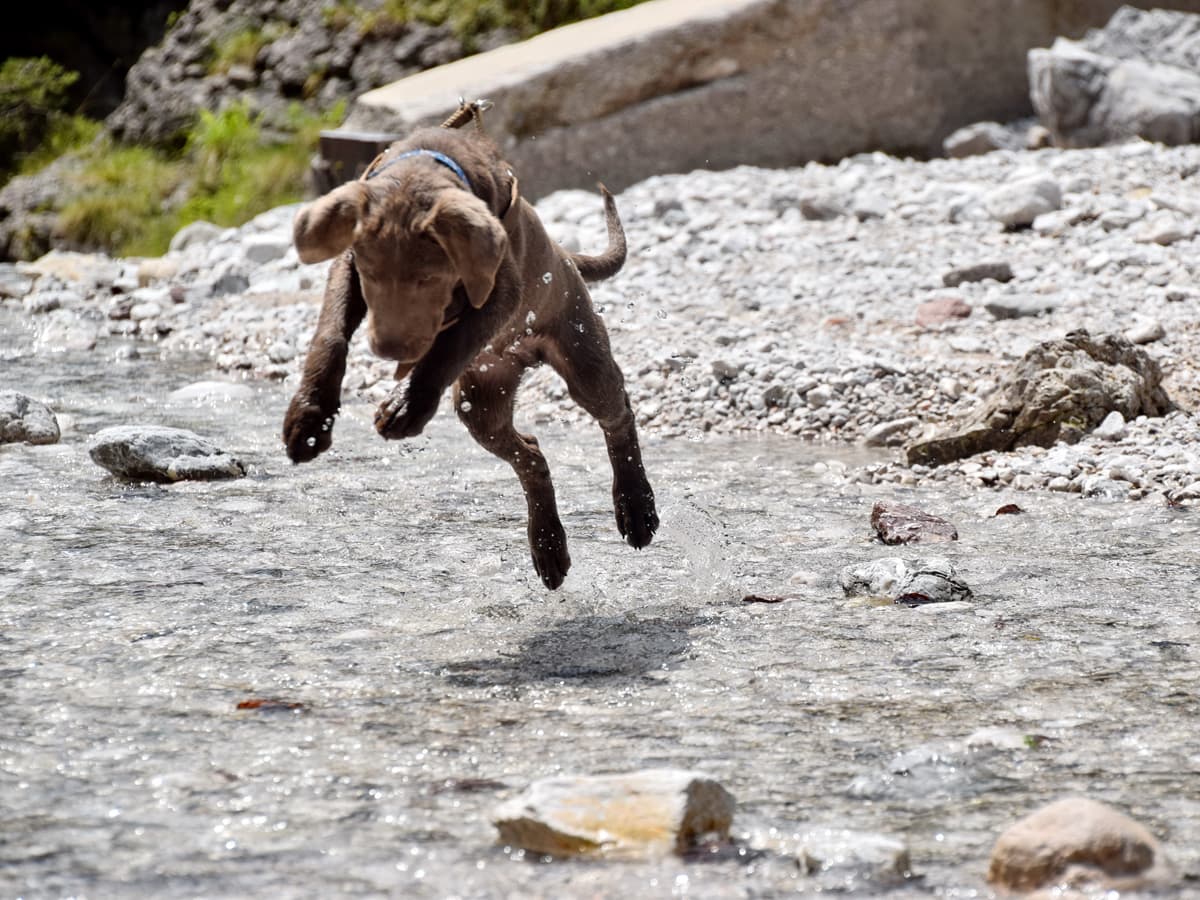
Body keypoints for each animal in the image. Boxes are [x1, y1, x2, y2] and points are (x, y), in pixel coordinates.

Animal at [280, 123, 657, 588]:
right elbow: (331, 332)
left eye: (428, 278)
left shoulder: (501, 287)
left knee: (616, 413)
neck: (425, 165)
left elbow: (451, 344)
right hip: (480, 402)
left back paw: (636, 507)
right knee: (530, 454)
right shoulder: (347, 265)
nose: (389, 350)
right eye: (371, 276)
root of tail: (565, 255)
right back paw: (548, 545)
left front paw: (406, 403)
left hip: (579, 350)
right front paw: (309, 416)